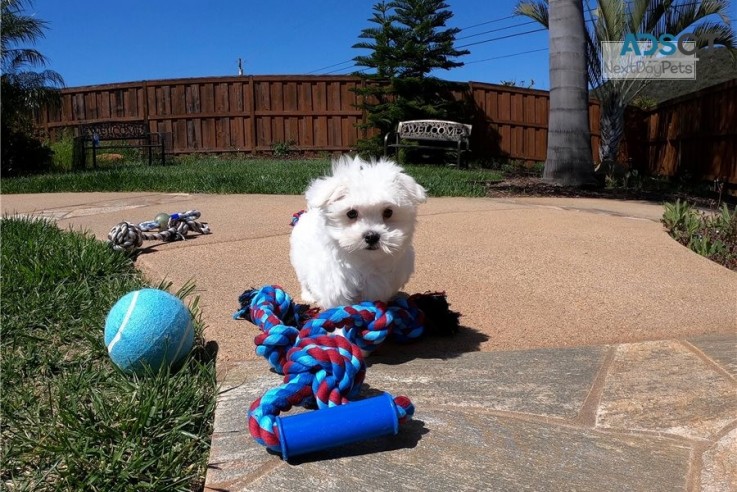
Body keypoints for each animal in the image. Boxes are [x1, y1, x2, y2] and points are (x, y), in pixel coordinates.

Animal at [288, 155, 426, 308]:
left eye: (388, 212)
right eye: (351, 213)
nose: (372, 236)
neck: (366, 259)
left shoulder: (381, 284)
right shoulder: (335, 282)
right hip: (300, 260)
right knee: (304, 280)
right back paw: (308, 295)